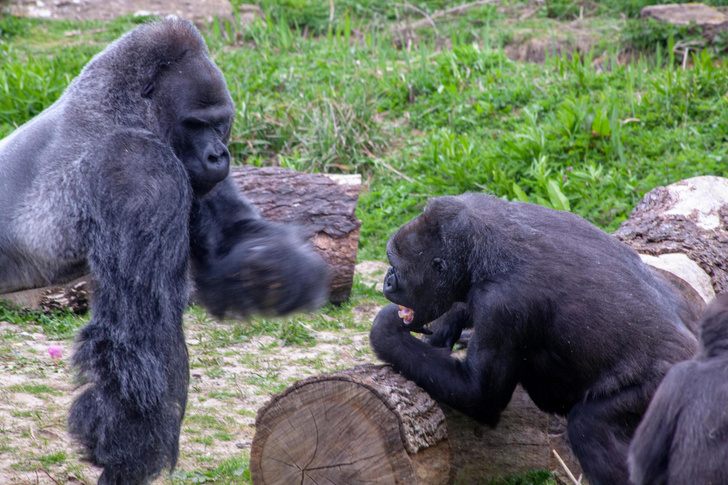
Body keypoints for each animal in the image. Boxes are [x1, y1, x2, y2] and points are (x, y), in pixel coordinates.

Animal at [0, 18, 328, 484]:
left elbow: (229, 243)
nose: (218, 155)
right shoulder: (140, 168)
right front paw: (129, 457)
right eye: (195, 123)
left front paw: (277, 274)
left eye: (220, 123)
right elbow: (137, 336)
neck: (123, 108)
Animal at [370, 193, 700, 484]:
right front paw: (451, 320)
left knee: (589, 427)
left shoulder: (501, 305)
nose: (387, 280)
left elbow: (479, 396)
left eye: (397, 268)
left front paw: (387, 332)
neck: (480, 249)